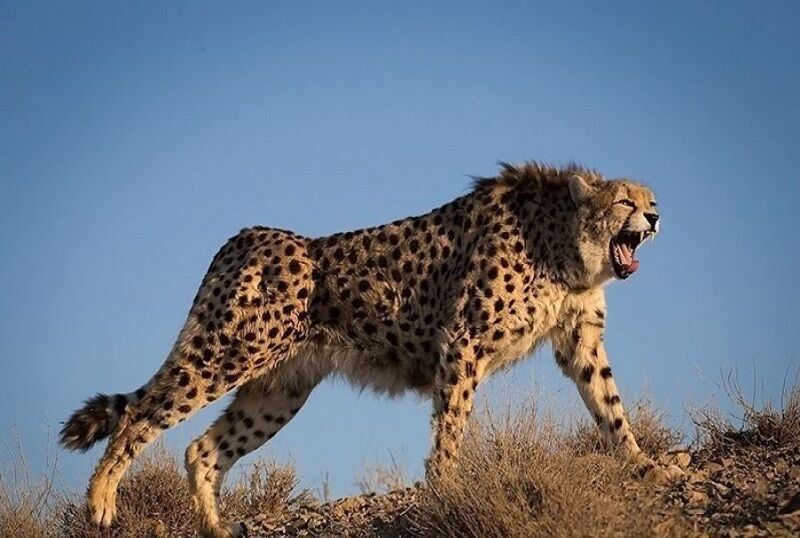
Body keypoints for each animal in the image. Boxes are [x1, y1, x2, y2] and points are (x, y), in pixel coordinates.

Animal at [59, 161, 680, 532]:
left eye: (650, 200)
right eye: (624, 202)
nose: (654, 217)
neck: (561, 245)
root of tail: (248, 236)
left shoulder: (580, 342)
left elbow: (611, 407)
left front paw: (645, 466)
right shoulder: (462, 343)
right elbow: (451, 425)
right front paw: (446, 488)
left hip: (279, 391)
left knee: (203, 450)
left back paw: (215, 529)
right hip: (230, 351)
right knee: (140, 415)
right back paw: (101, 502)